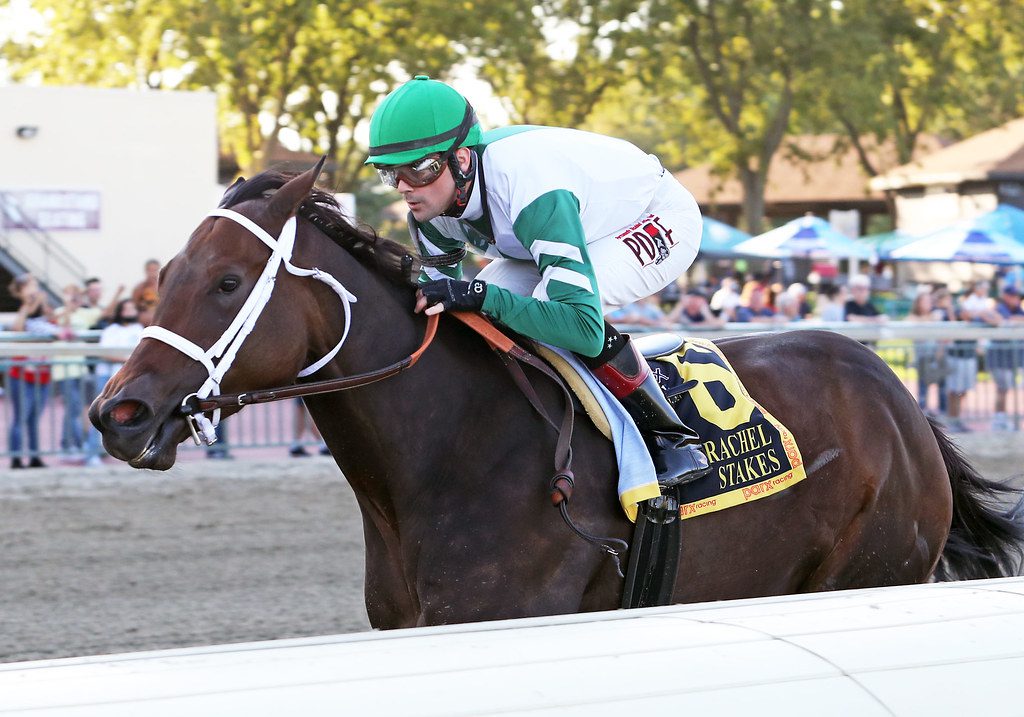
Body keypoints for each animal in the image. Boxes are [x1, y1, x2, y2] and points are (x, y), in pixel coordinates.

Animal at [90, 162, 1024, 626]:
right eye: (166, 276)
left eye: (226, 281)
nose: (116, 412)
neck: (448, 457)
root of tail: (896, 394)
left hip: (873, 568)